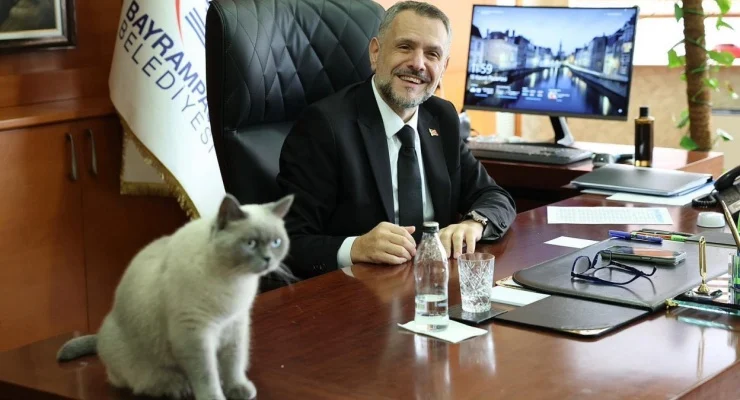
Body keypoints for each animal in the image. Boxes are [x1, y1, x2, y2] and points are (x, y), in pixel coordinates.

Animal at [56, 193, 294, 400]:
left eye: (276, 242)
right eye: (250, 243)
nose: (268, 259)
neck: (234, 280)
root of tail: (102, 333)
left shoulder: (235, 325)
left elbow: (233, 364)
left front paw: (239, 389)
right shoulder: (194, 333)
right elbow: (206, 374)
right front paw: (215, 397)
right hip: (138, 361)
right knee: (144, 382)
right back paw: (178, 387)